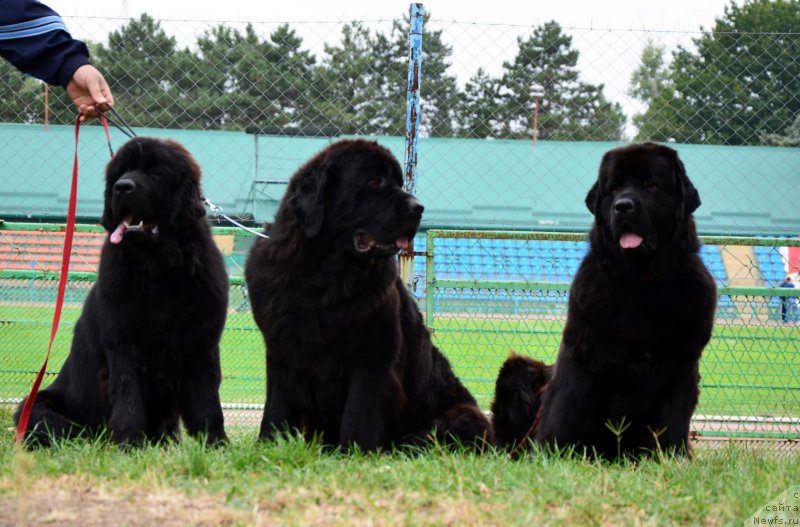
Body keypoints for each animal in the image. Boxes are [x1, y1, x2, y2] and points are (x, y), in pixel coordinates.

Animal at [14, 138, 230, 448]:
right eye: (121, 172)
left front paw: (215, 444)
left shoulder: (201, 342)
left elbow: (206, 400)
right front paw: (128, 444)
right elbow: (129, 398)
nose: (122, 187)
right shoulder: (122, 343)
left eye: (154, 171)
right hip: (33, 409)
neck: (159, 268)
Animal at [245, 138, 494, 452]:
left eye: (399, 183)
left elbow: (359, 409)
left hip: (462, 417)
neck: (322, 274)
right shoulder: (281, 349)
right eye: (375, 181)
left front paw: (354, 451)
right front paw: (268, 446)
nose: (419, 207)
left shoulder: (373, 355)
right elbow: (277, 407)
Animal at [490, 142, 716, 460]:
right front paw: (548, 455)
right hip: (517, 372)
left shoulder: (681, 365)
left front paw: (672, 459)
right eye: (615, 188)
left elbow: (672, 422)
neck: (642, 283)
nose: (623, 206)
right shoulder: (581, 355)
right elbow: (563, 411)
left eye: (650, 184)